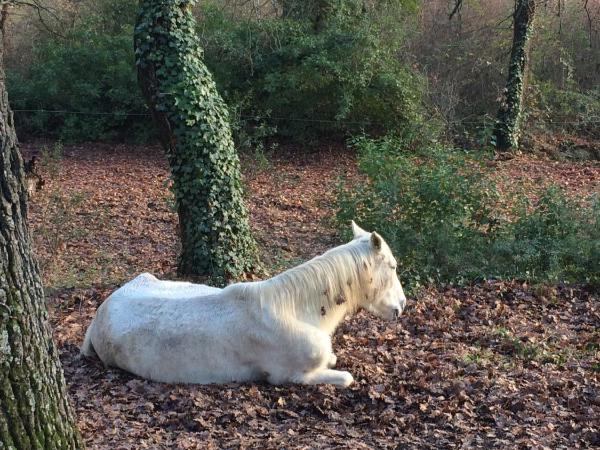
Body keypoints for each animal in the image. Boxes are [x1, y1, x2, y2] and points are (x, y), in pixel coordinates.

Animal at [81, 221, 408, 386]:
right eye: (392, 266)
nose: (402, 305)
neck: (295, 312)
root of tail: (100, 312)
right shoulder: (291, 377)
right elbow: (346, 377)